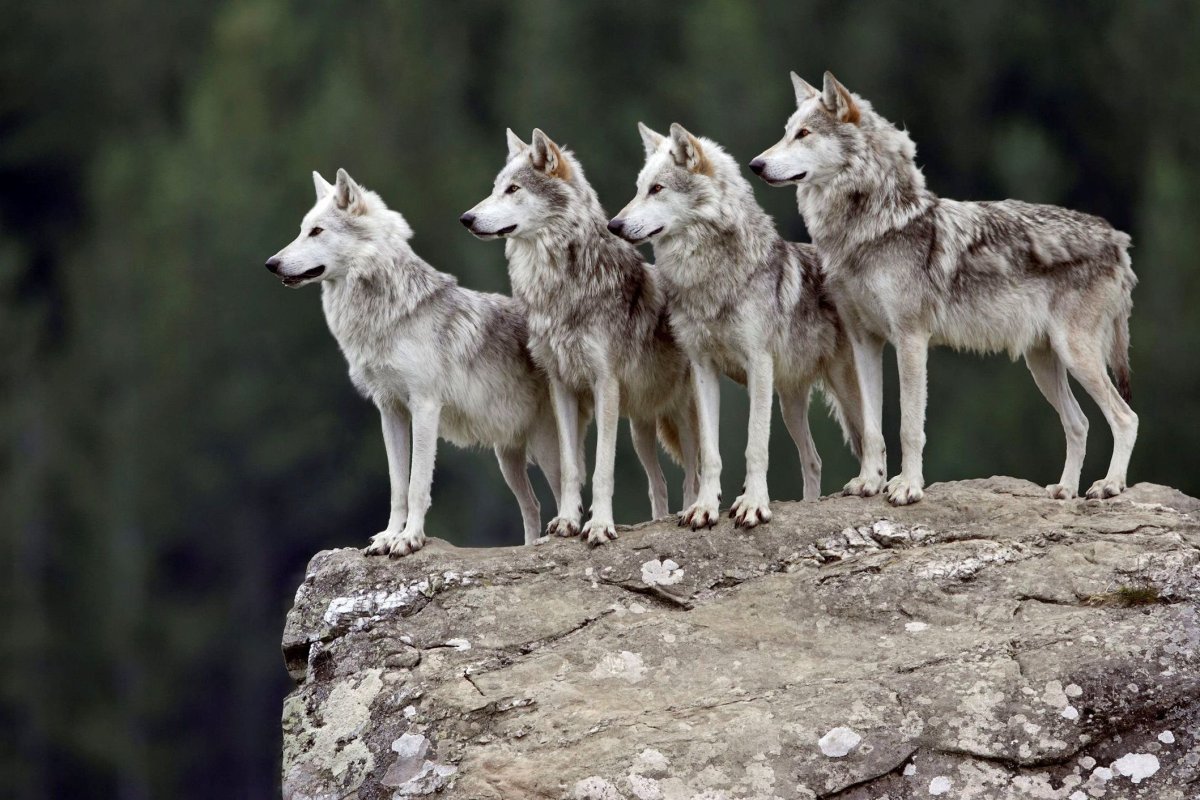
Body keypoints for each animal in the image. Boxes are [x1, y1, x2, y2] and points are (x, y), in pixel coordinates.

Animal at [265, 168, 565, 556]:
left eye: (316, 231)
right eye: (302, 229)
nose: (271, 264)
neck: (387, 316)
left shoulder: (424, 407)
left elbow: (417, 484)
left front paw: (409, 539)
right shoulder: (390, 410)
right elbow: (397, 487)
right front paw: (388, 537)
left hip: (545, 450)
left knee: (567, 494)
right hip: (508, 458)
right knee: (533, 506)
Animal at [461, 129, 699, 545]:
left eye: (513, 189)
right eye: (494, 189)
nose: (466, 218)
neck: (560, 288)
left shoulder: (605, 385)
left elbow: (602, 468)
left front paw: (600, 525)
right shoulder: (562, 385)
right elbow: (571, 467)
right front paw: (567, 521)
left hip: (679, 414)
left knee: (694, 472)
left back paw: (693, 512)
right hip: (641, 428)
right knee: (659, 483)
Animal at [609, 123, 869, 529]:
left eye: (657, 188)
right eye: (639, 188)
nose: (614, 225)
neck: (709, 279)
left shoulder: (758, 365)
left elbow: (755, 446)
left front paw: (753, 505)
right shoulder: (703, 370)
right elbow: (711, 453)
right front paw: (704, 508)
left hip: (842, 388)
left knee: (874, 439)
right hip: (790, 403)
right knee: (813, 459)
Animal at [751, 72, 1138, 504]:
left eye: (804, 134)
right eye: (786, 132)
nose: (755, 164)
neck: (871, 228)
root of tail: (1117, 239)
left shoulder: (911, 339)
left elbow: (908, 427)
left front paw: (907, 487)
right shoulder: (864, 341)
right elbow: (871, 428)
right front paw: (869, 482)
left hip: (1076, 355)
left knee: (1126, 417)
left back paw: (1109, 486)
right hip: (1043, 363)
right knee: (1080, 423)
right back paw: (1065, 490)